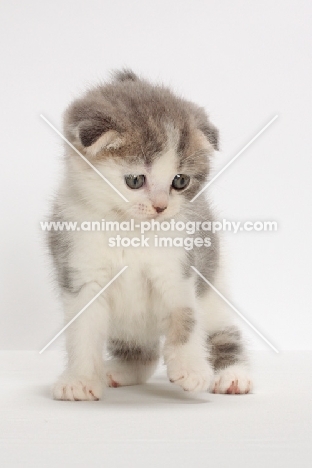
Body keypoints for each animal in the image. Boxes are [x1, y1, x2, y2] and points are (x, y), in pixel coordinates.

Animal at [49, 69, 254, 398]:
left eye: (180, 181)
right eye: (135, 180)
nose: (161, 207)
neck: (130, 229)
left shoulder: (179, 270)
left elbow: (186, 317)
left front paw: (192, 370)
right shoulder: (81, 272)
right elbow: (82, 332)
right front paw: (79, 380)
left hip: (214, 287)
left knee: (222, 331)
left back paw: (233, 375)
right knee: (144, 352)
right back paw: (121, 370)